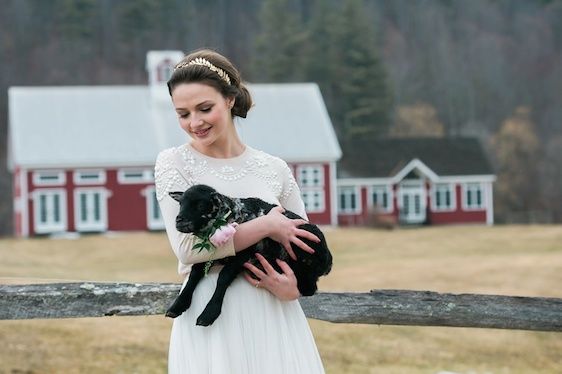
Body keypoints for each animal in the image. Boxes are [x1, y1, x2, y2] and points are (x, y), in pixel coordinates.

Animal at [164, 184, 330, 324]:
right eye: (181, 204)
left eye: (199, 205)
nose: (179, 220)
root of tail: (328, 261)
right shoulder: (208, 254)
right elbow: (194, 274)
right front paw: (177, 306)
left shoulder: (245, 252)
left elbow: (223, 277)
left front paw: (209, 314)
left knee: (309, 288)